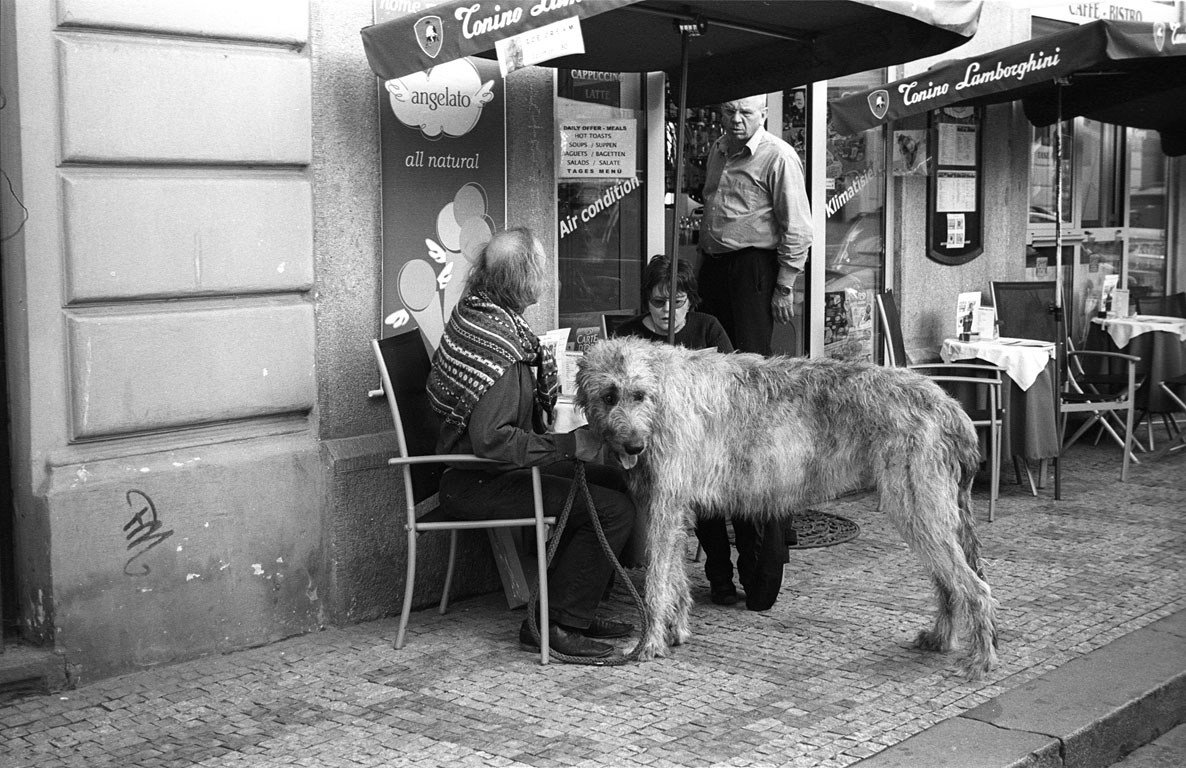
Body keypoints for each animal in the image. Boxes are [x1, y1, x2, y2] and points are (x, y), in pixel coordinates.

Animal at [574, 336, 1000, 677]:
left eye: (639, 395)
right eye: (609, 396)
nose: (633, 447)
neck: (662, 393)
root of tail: (949, 405)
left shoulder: (664, 503)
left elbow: (657, 581)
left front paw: (648, 643)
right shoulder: (675, 507)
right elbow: (675, 575)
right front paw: (675, 632)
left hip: (916, 506)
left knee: (975, 586)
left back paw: (981, 660)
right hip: (926, 513)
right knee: (948, 581)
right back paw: (941, 638)